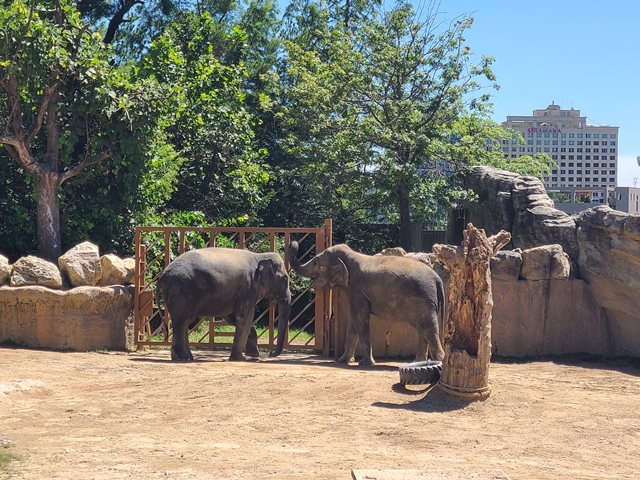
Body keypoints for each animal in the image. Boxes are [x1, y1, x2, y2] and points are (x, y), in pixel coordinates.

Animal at [156, 248, 292, 360]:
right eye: (285, 280)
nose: (270, 354)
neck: (260, 256)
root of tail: (162, 277)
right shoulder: (248, 288)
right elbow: (244, 316)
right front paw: (240, 358)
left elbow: (233, 318)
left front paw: (253, 355)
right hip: (184, 290)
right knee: (183, 321)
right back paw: (183, 358)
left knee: (183, 322)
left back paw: (188, 357)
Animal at [288, 242, 442, 366]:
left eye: (316, 263)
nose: (293, 243)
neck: (350, 256)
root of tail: (437, 278)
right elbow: (353, 322)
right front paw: (343, 360)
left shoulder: (357, 288)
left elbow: (360, 319)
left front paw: (365, 363)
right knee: (423, 330)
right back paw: (418, 363)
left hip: (424, 300)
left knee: (428, 329)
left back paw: (439, 362)